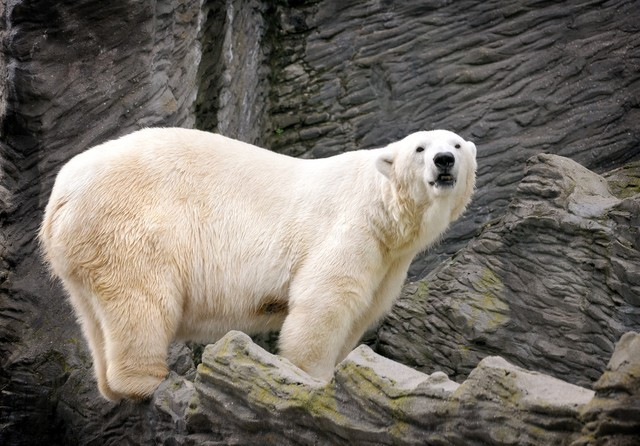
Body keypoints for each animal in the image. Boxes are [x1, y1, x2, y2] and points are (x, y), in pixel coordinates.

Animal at [39, 127, 477, 401]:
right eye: (420, 148)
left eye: (456, 145)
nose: (443, 161)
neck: (383, 206)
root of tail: (61, 194)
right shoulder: (351, 227)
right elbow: (325, 300)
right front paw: (312, 379)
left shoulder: (390, 259)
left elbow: (364, 309)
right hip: (131, 225)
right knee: (143, 299)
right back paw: (145, 381)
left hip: (83, 250)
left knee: (92, 312)